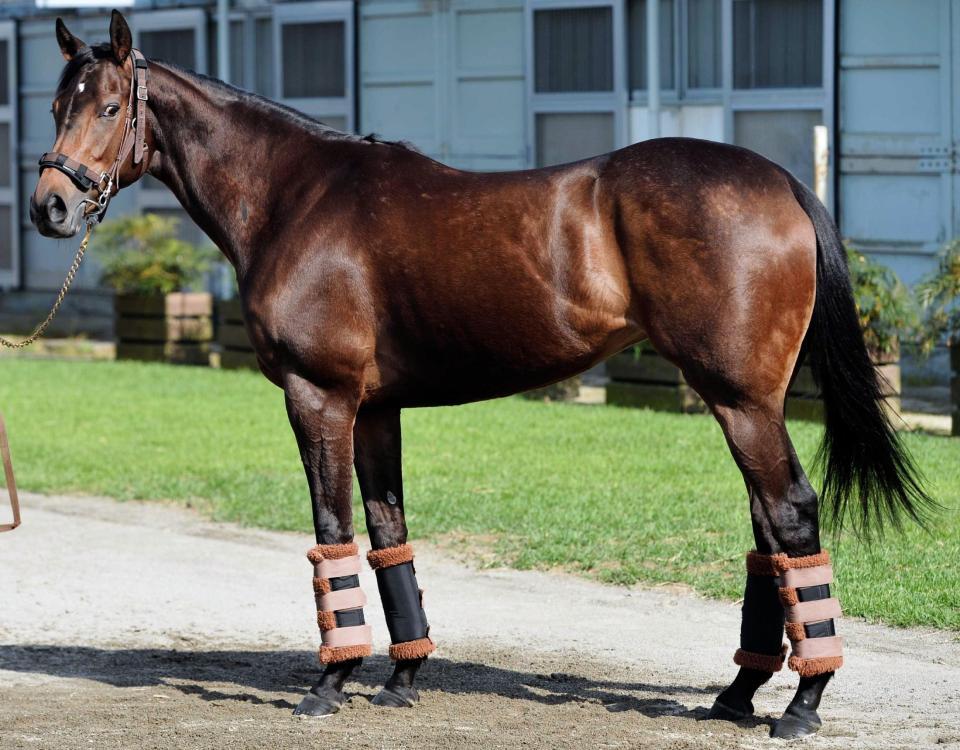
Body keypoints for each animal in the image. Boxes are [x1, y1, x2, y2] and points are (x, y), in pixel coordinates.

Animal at [31, 11, 931, 739]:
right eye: (54, 106)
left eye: (107, 107)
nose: (50, 207)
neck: (296, 197)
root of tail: (781, 181)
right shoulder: (376, 409)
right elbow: (387, 533)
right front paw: (401, 677)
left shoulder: (320, 397)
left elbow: (332, 529)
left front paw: (330, 683)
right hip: (742, 402)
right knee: (768, 530)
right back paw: (740, 693)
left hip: (742, 401)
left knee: (790, 514)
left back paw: (803, 704)